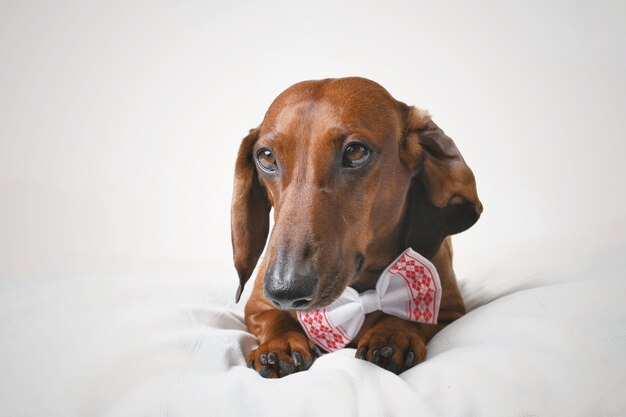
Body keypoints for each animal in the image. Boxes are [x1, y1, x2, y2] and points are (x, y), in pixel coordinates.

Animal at [232, 77, 480, 376]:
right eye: (266, 157)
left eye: (356, 151)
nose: (285, 290)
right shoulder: (257, 308)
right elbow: (274, 318)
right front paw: (279, 343)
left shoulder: (450, 311)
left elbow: (411, 317)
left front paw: (392, 334)